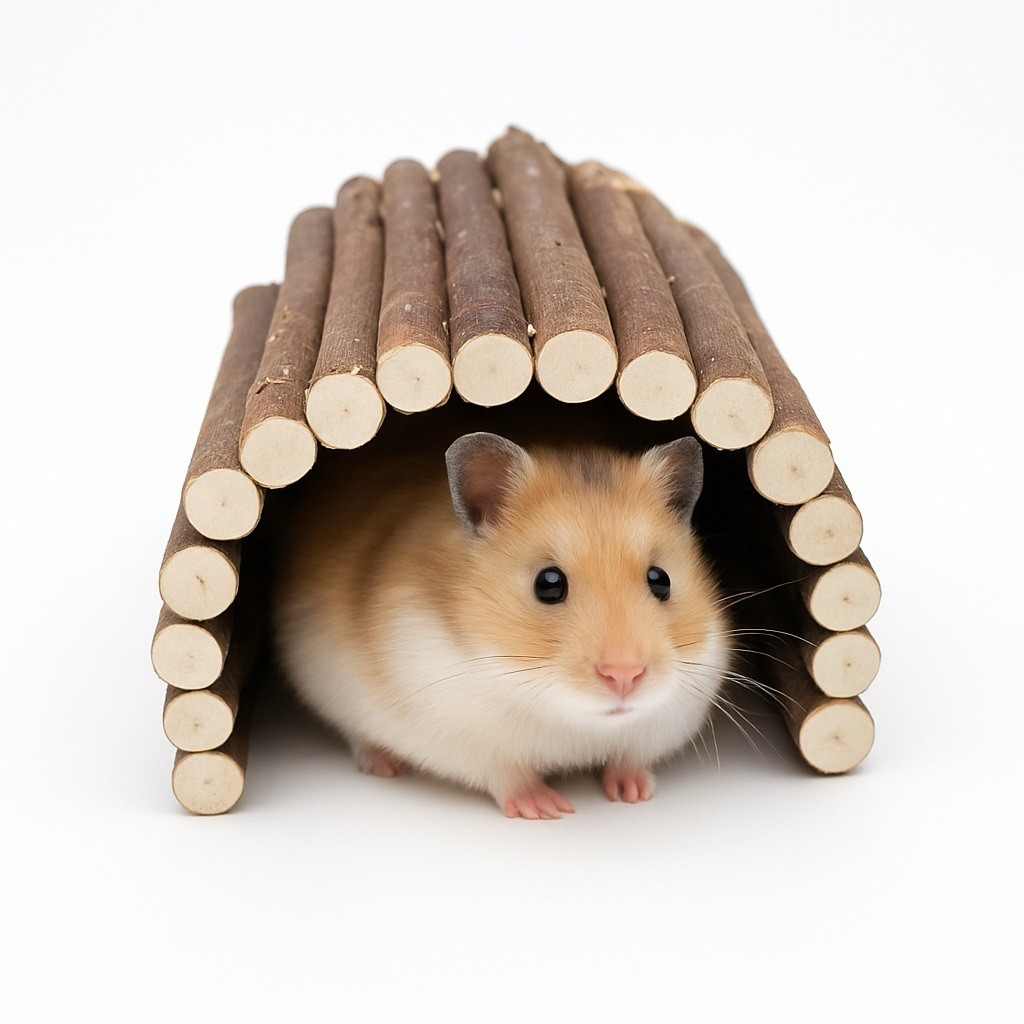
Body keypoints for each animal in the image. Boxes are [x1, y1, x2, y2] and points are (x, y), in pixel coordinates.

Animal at [272, 431, 729, 819]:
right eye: (548, 583)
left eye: (660, 579)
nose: (624, 676)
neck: (573, 717)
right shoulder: (465, 734)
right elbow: (508, 774)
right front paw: (549, 809)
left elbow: (629, 757)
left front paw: (636, 794)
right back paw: (385, 765)